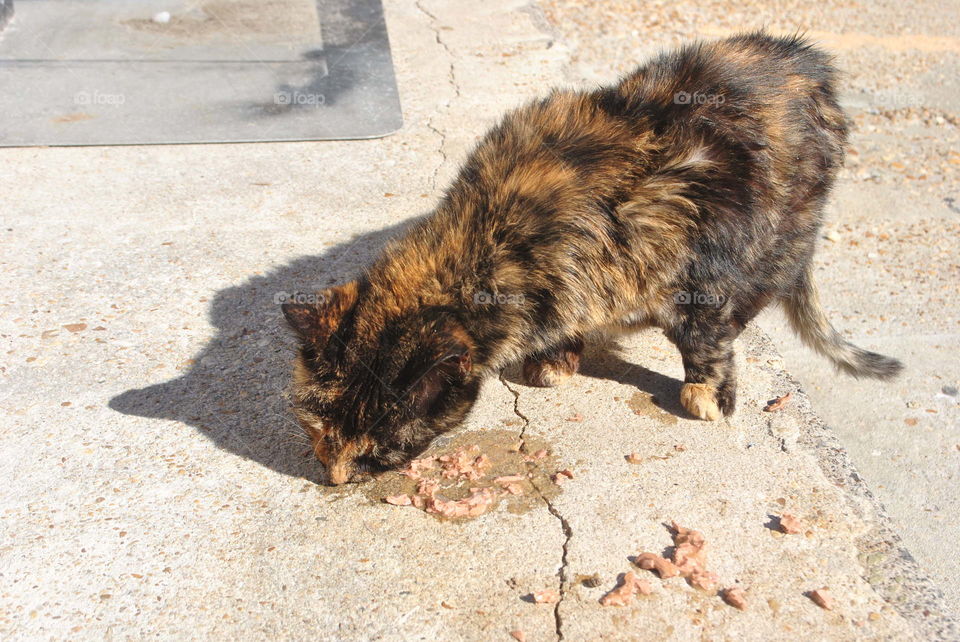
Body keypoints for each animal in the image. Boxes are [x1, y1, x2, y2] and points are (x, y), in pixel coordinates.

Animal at [282, 30, 904, 480]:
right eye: (316, 429)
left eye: (378, 449)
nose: (335, 478)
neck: (495, 239)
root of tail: (808, 61)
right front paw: (558, 355)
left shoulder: (698, 265)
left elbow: (704, 336)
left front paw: (708, 393)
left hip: (782, 227)